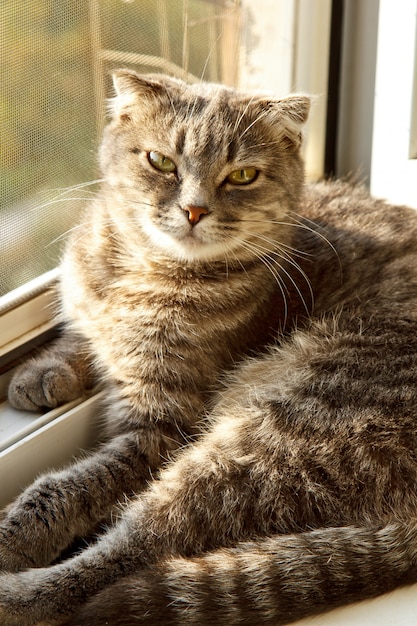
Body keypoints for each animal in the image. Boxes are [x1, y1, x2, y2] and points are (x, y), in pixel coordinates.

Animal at [2, 70, 416, 620]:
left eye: (242, 175)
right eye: (161, 162)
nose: (194, 210)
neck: (138, 269)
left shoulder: (158, 428)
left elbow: (64, 489)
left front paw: (15, 538)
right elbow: (82, 333)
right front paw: (45, 372)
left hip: (273, 440)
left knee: (141, 543)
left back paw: (21, 593)